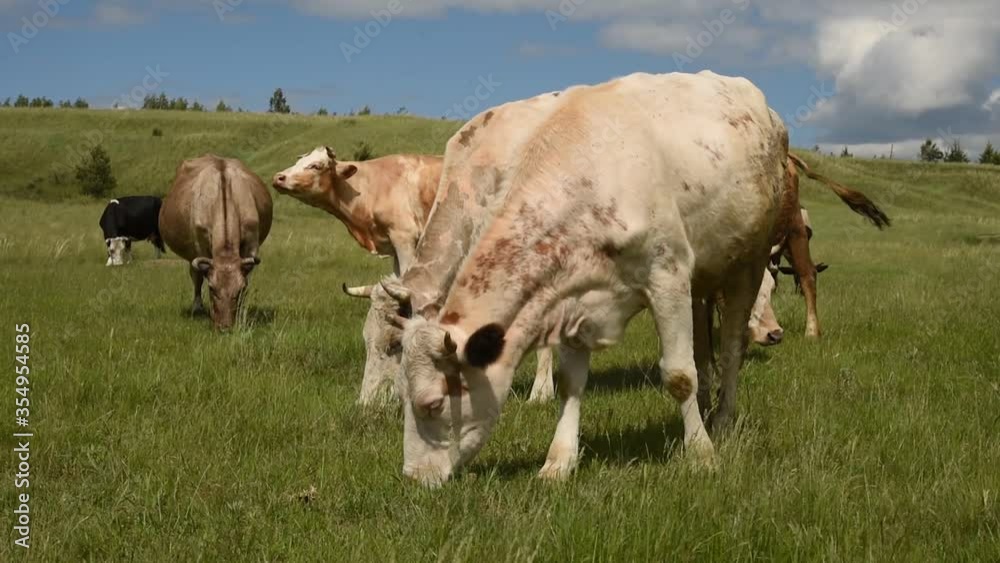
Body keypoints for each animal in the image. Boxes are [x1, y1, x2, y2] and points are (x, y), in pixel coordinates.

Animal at [159, 155, 273, 331]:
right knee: (195, 275)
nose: (224, 327)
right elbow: (199, 275)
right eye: (212, 289)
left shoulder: (252, 245)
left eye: (239, 290)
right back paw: (197, 307)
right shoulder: (200, 246)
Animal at [385, 71, 792, 486]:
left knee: (731, 348)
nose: (413, 478)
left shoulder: (668, 273)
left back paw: (722, 421)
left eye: (432, 403)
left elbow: (679, 375)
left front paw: (700, 453)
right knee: (704, 349)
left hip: (749, 263)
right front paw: (558, 461)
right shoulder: (571, 295)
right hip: (703, 281)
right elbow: (571, 382)